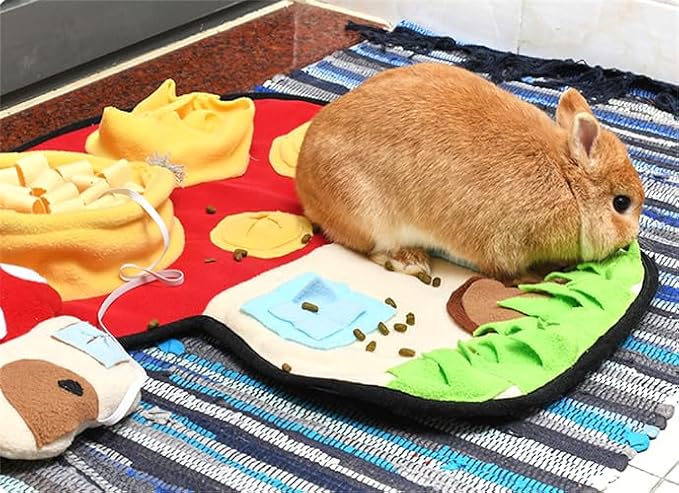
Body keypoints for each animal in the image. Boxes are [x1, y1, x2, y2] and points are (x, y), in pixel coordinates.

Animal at [294, 63, 644, 284]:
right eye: (621, 203)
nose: (631, 238)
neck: (567, 181)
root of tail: (303, 181)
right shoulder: (506, 244)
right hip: (370, 217)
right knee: (374, 249)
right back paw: (413, 262)